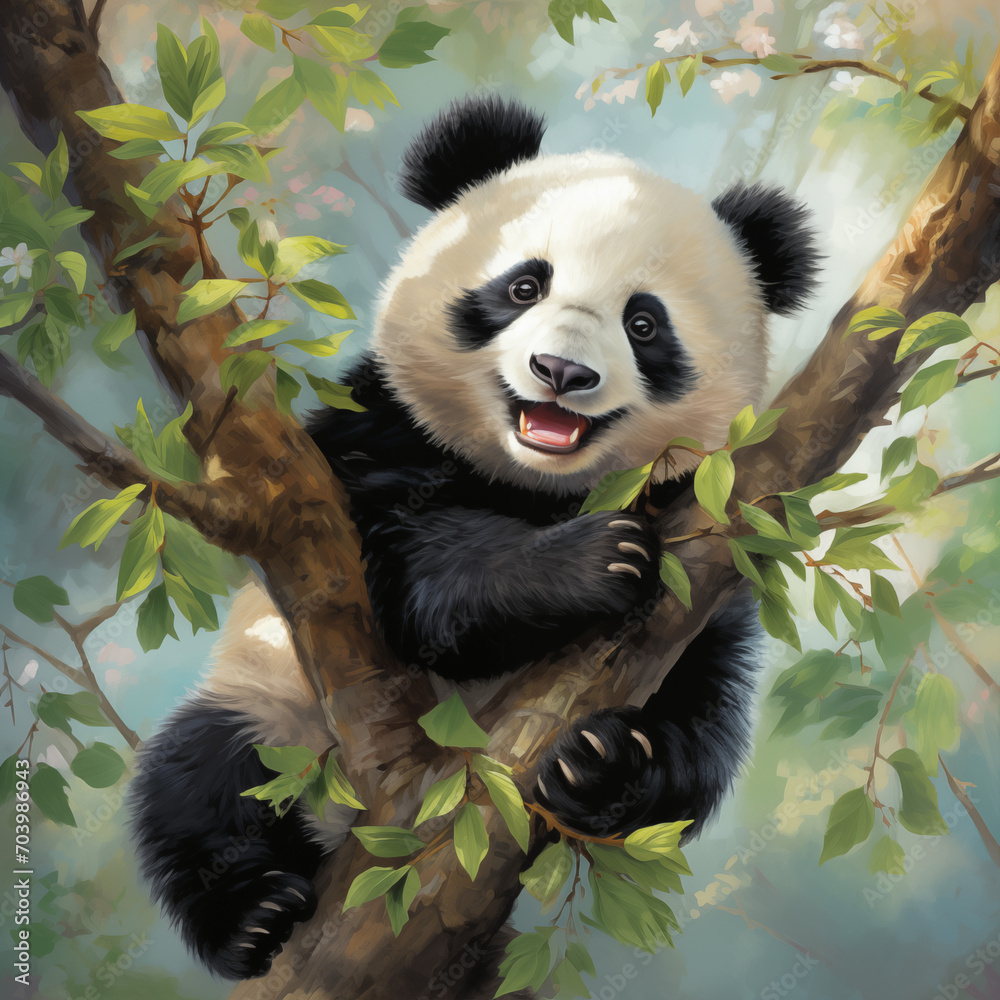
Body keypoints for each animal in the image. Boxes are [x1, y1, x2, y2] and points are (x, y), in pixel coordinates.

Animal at [131, 95, 819, 982]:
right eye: (524, 284)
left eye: (644, 322)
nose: (562, 372)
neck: (538, 485)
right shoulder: (373, 442)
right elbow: (416, 575)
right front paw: (589, 562)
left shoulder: (710, 539)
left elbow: (698, 717)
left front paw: (601, 764)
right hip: (277, 706)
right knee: (204, 782)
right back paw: (255, 916)